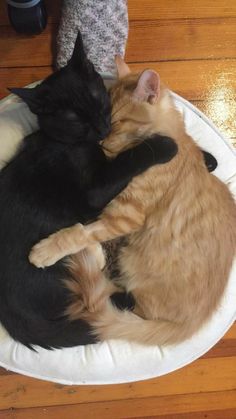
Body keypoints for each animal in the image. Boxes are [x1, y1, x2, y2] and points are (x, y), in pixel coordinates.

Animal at [0, 32, 179, 350]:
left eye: (97, 99)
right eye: (74, 119)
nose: (101, 127)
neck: (63, 141)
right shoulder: (96, 188)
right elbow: (129, 158)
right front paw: (165, 145)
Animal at [29, 59, 236, 348]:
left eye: (114, 122)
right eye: (104, 115)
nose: (100, 140)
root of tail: (188, 327)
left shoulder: (125, 216)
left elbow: (80, 233)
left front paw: (46, 250)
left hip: (131, 262)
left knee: (118, 297)